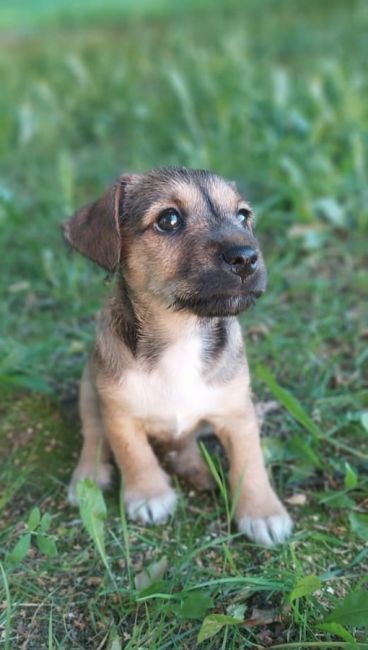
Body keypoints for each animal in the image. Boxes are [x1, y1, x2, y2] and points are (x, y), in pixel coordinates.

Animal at [64, 165, 294, 544]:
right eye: (168, 220)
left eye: (243, 216)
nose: (247, 258)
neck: (182, 333)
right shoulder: (119, 414)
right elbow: (133, 454)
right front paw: (149, 494)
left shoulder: (237, 413)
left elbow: (250, 463)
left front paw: (262, 512)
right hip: (88, 384)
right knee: (93, 434)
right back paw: (88, 475)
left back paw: (197, 469)